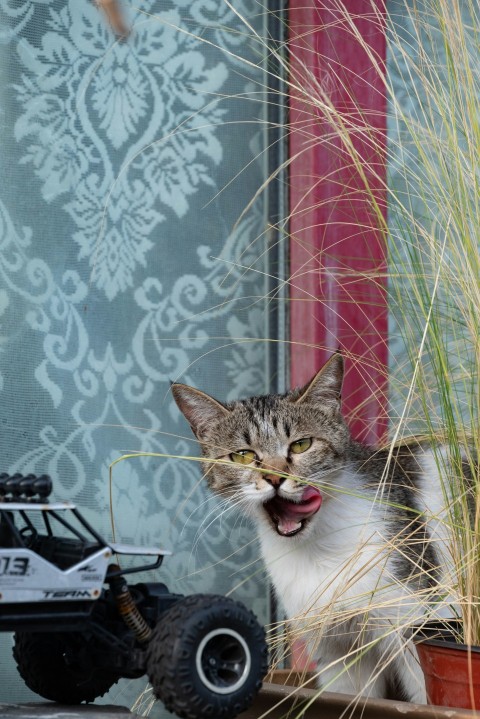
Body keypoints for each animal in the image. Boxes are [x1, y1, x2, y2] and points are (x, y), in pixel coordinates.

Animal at [171, 354, 460, 704]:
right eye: (243, 455)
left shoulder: (413, 626)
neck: (317, 551)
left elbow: (425, 695)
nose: (275, 477)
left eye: (301, 445)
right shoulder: (339, 653)